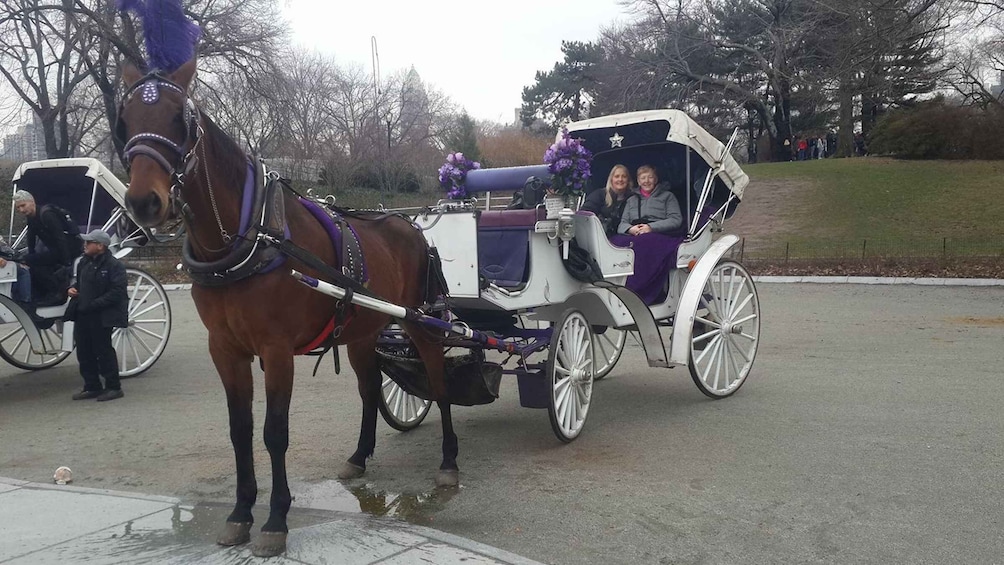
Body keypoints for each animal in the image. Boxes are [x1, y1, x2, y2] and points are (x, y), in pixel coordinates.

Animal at [117, 60, 455, 557]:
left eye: (182, 119)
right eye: (124, 120)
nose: (144, 201)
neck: (245, 238)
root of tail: (409, 224)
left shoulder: (276, 351)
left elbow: (274, 432)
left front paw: (276, 518)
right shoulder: (225, 350)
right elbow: (239, 430)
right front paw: (240, 513)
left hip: (419, 322)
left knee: (438, 380)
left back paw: (449, 460)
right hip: (362, 330)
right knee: (370, 388)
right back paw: (359, 456)